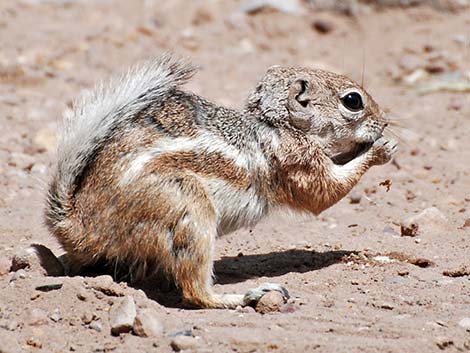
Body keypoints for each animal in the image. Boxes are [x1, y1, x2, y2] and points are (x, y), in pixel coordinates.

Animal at [44, 53, 396, 306]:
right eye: (353, 100)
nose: (384, 122)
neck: (276, 125)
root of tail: (78, 224)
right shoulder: (299, 163)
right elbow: (324, 193)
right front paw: (380, 149)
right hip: (188, 207)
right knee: (196, 292)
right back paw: (246, 296)